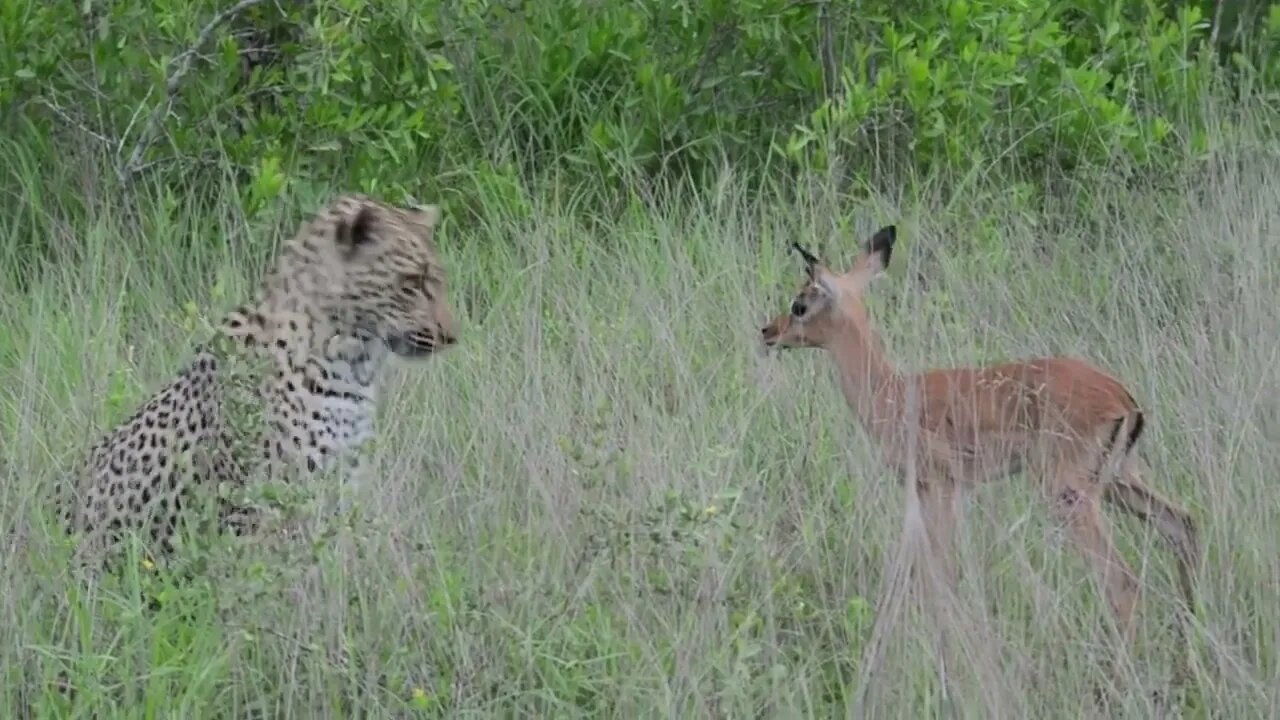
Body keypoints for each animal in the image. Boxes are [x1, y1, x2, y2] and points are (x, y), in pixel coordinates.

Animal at [60, 193, 463, 563]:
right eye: (411, 283)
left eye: (437, 281)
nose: (451, 336)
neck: (354, 366)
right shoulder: (269, 507)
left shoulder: (338, 491)